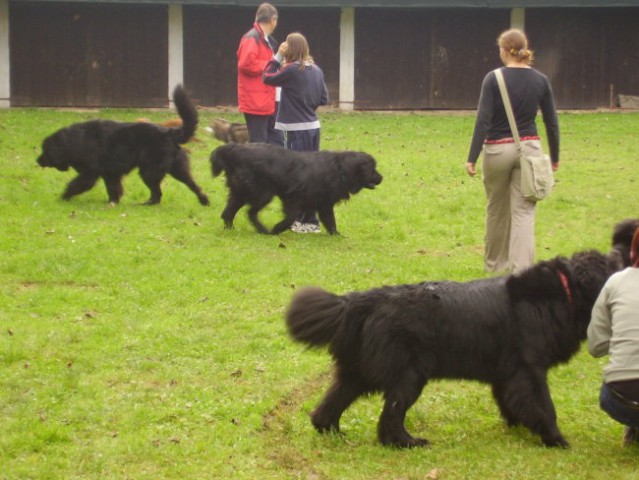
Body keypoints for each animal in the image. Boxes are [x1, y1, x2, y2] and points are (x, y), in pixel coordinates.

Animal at [37, 85, 210, 205]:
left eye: (45, 151)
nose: (37, 160)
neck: (75, 141)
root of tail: (169, 132)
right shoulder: (110, 173)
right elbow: (113, 189)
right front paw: (113, 202)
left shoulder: (90, 174)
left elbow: (74, 185)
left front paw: (63, 197)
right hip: (177, 169)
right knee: (193, 185)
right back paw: (204, 200)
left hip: (149, 172)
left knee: (157, 193)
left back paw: (146, 204)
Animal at [288, 238, 632, 448]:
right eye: (614, 269)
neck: (565, 290)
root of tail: (361, 299)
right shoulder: (529, 369)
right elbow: (543, 405)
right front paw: (555, 439)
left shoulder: (507, 373)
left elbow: (512, 401)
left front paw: (520, 426)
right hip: (408, 374)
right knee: (391, 417)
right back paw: (407, 443)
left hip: (359, 369)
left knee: (332, 403)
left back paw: (332, 431)